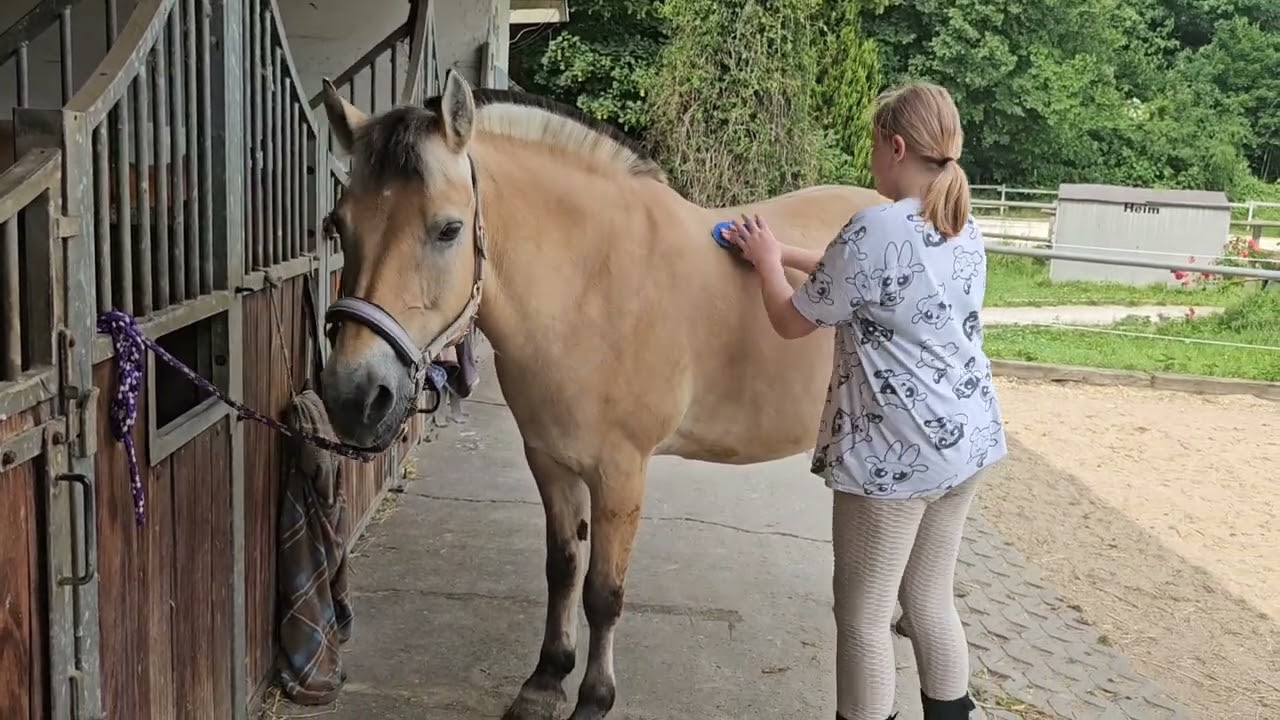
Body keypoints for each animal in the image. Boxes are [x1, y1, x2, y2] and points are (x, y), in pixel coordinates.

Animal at [316, 69, 888, 719]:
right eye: (339, 225)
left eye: (448, 229)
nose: (354, 395)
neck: (590, 287)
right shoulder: (550, 462)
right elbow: (562, 569)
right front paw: (545, 680)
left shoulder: (620, 475)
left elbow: (603, 593)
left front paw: (593, 698)